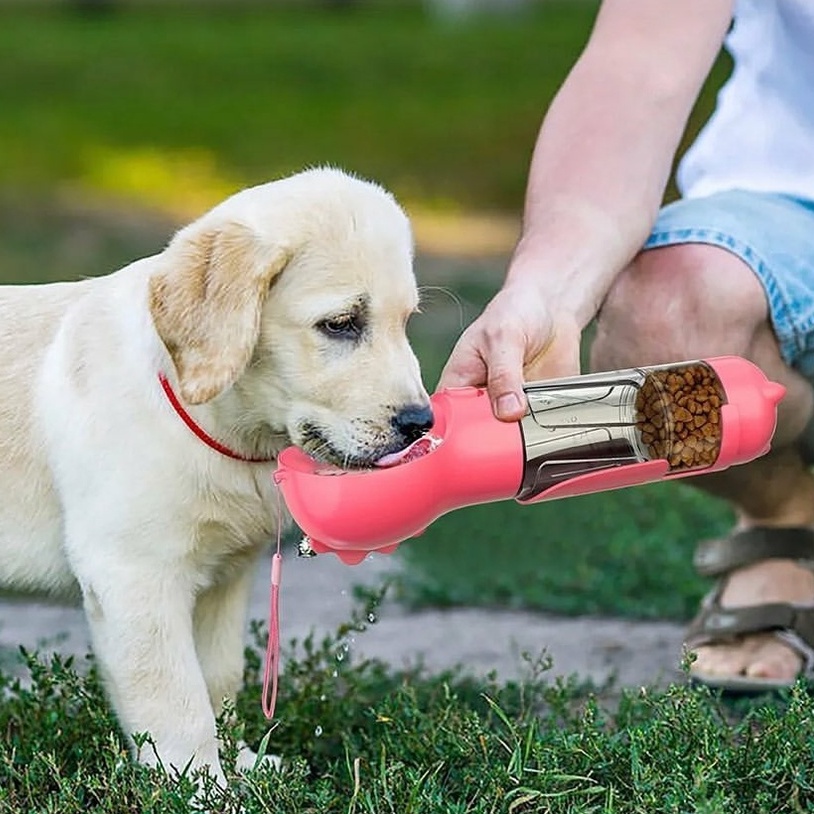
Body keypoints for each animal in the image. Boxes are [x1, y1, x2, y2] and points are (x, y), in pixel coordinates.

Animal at [0, 166, 434, 784]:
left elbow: (218, 680)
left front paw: (242, 763)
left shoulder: (224, 579)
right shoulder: (134, 575)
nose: (422, 423)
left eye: (405, 323)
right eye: (341, 324)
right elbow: (176, 699)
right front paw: (202, 786)